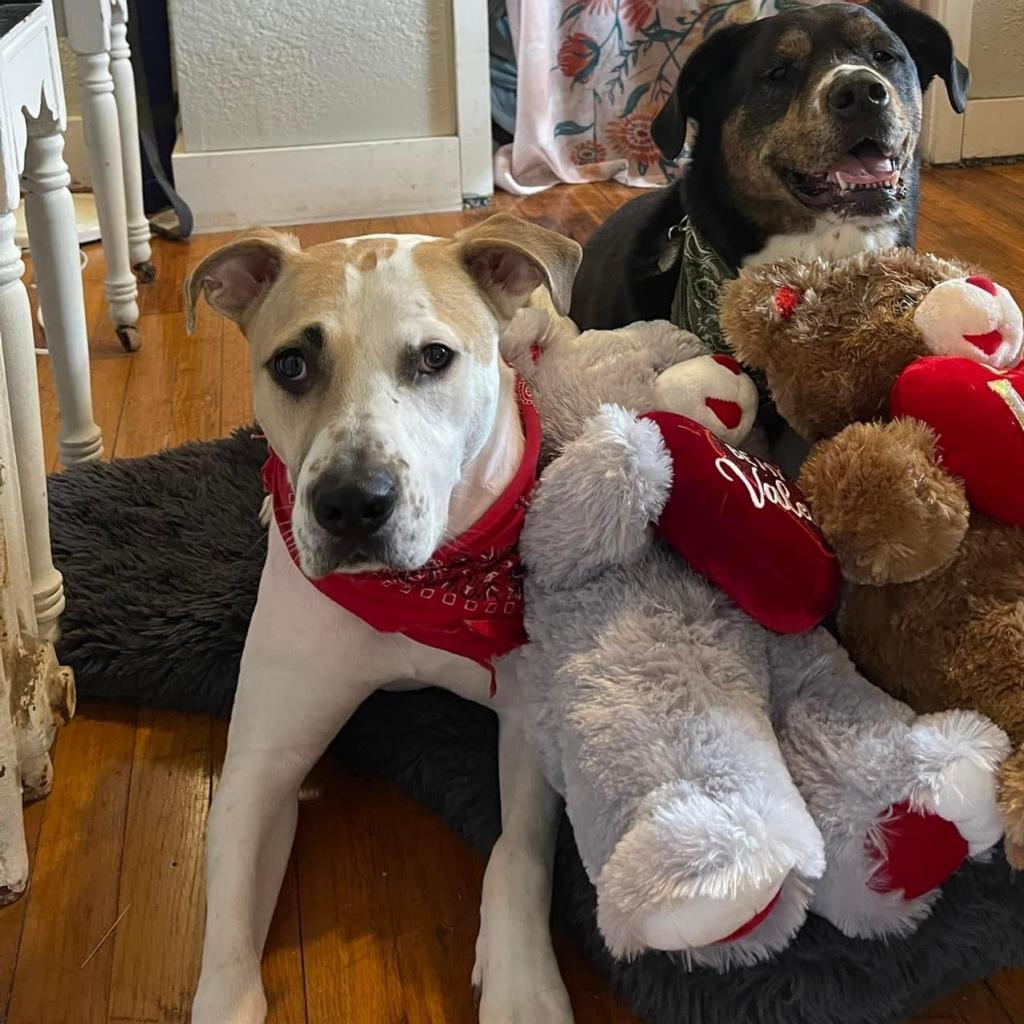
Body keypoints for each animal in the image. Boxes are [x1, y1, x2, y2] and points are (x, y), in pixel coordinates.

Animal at [184, 216, 585, 1024]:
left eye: (434, 358)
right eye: (292, 365)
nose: (351, 504)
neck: (418, 589)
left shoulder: (529, 720)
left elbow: (516, 853)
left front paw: (523, 983)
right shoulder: (260, 764)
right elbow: (229, 928)